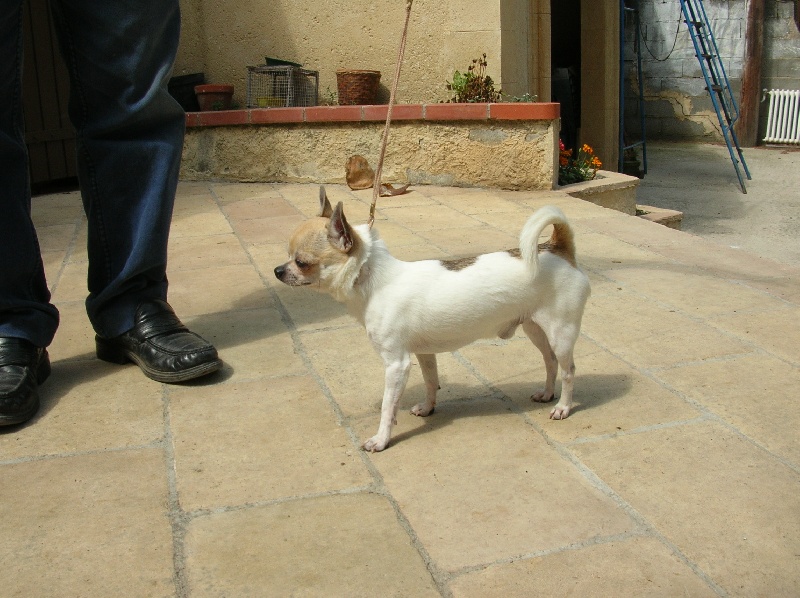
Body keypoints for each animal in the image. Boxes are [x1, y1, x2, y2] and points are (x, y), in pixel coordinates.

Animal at [276, 190, 588, 452]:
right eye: (287, 256)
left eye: (301, 262)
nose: (278, 270)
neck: (374, 280)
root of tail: (557, 248)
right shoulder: (423, 354)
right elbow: (430, 382)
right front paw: (428, 408)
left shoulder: (396, 365)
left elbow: (388, 407)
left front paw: (381, 439)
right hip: (535, 329)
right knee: (550, 361)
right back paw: (547, 394)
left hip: (560, 333)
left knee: (568, 369)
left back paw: (563, 407)